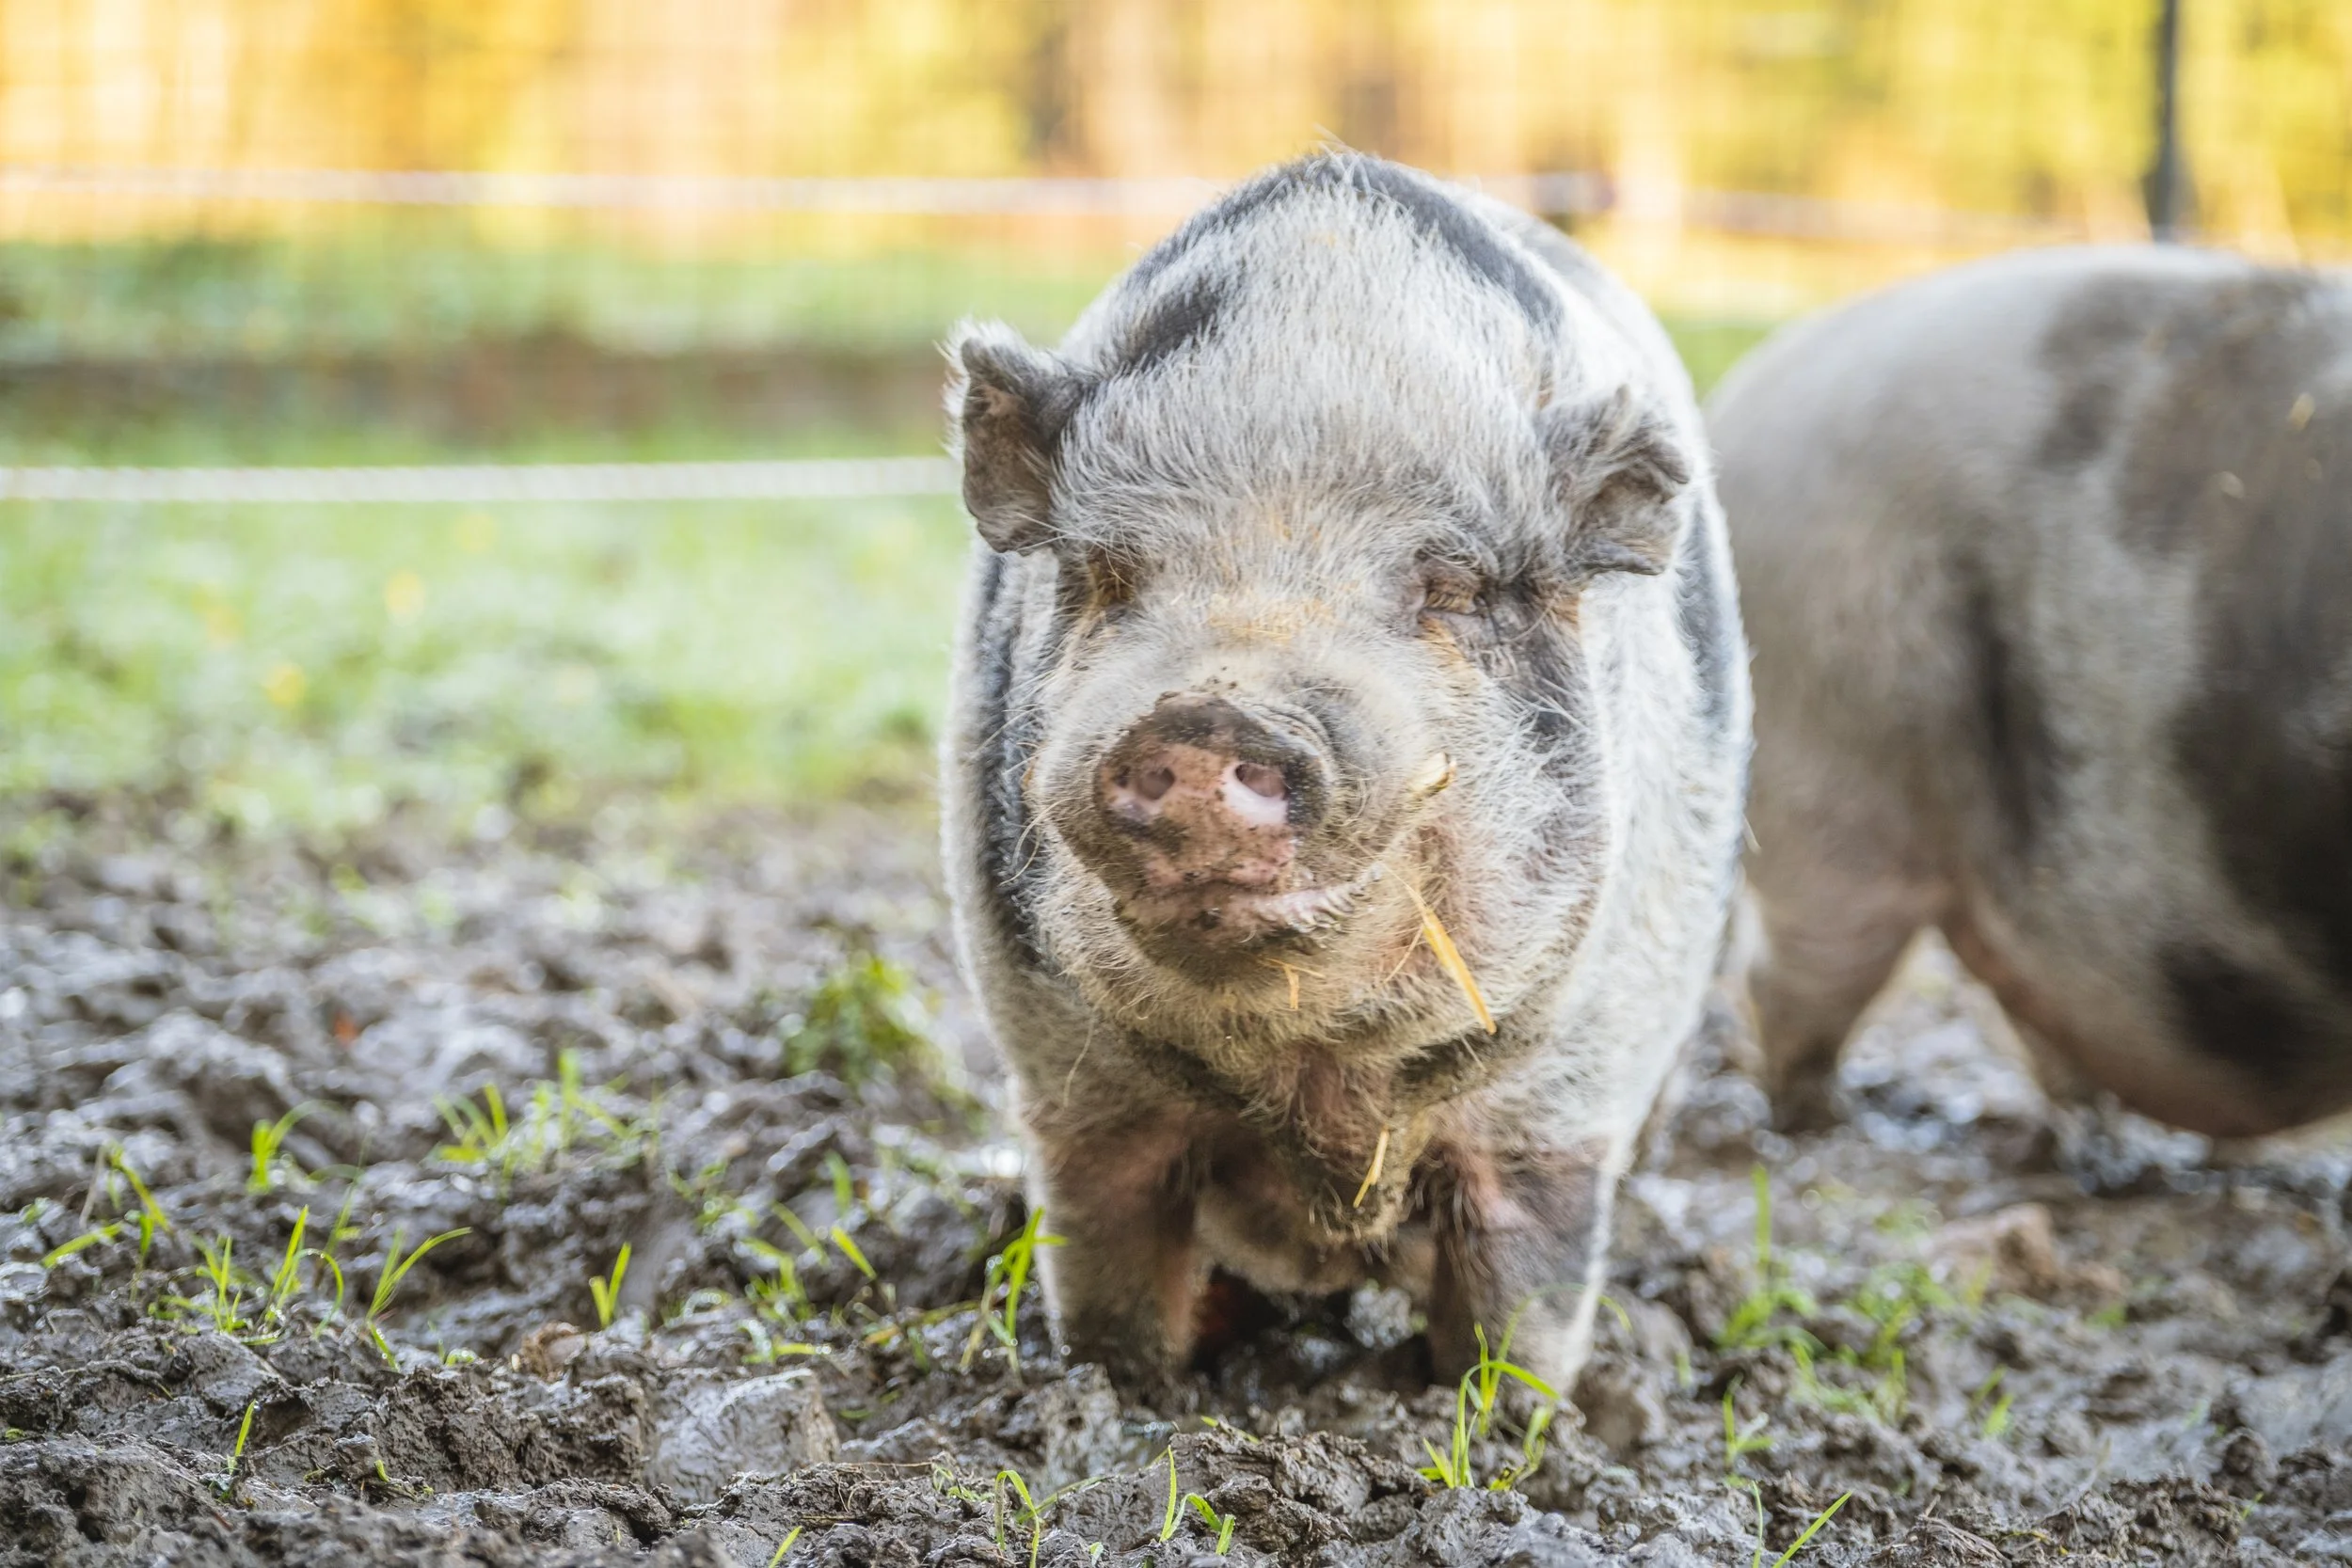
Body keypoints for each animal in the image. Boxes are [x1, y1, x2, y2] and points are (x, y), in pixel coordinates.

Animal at [940, 151, 1749, 1394]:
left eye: (1452, 587)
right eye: (1109, 572)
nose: (1208, 713)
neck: (1319, 1094)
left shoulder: (1563, 1099)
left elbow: (1522, 1299)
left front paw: (1506, 1421)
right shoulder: (1067, 1079)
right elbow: (1111, 1269)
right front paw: (1123, 1391)